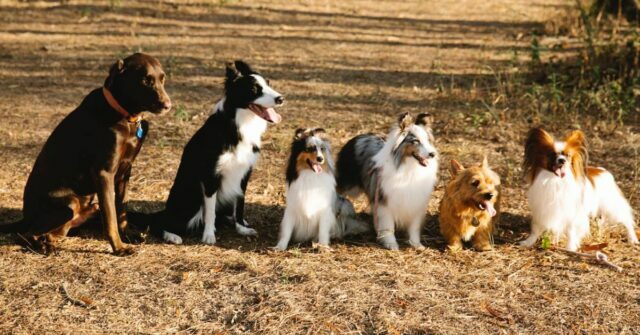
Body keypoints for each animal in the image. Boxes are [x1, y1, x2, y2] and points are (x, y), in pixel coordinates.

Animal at [0, 53, 172, 256]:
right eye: (145, 80)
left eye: (162, 79)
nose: (168, 105)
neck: (126, 116)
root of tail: (25, 217)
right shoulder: (104, 173)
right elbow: (111, 218)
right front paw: (119, 248)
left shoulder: (125, 172)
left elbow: (121, 210)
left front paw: (128, 235)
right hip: (69, 204)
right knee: (26, 233)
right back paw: (44, 247)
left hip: (88, 207)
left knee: (54, 232)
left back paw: (49, 241)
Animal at [338, 114, 438, 251]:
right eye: (415, 141)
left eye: (428, 140)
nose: (432, 154)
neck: (408, 167)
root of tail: (357, 136)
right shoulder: (385, 202)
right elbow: (388, 226)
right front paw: (391, 244)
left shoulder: (415, 202)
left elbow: (414, 226)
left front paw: (416, 244)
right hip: (348, 186)